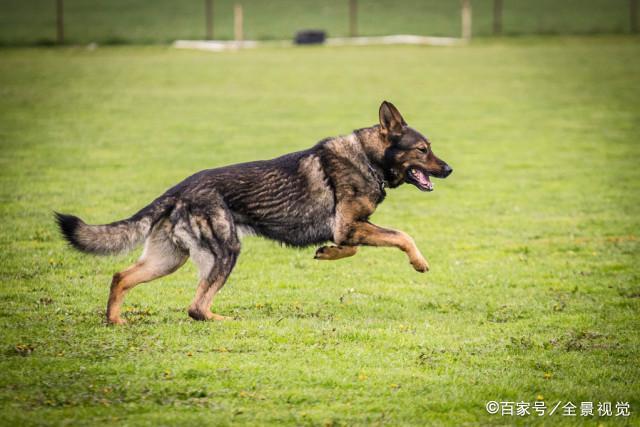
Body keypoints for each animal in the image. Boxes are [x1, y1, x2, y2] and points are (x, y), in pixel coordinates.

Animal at [57, 103, 452, 324]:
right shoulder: (349, 226)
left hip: (169, 259)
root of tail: (178, 190)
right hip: (225, 251)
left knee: (121, 277)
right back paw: (223, 318)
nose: (449, 169)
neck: (368, 158)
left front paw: (327, 253)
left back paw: (114, 321)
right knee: (196, 307)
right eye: (422, 149)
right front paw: (419, 262)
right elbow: (401, 235)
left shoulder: (349, 229)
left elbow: (351, 247)